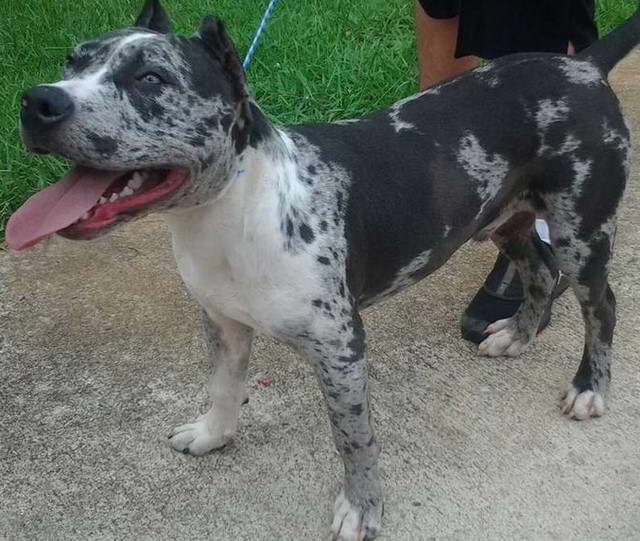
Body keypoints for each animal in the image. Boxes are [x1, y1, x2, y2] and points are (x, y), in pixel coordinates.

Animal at [7, 0, 636, 536]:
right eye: (72, 60)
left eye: (151, 79)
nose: (38, 101)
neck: (234, 210)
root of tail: (580, 66)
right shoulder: (222, 322)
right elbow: (223, 386)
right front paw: (214, 435)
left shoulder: (341, 348)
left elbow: (353, 439)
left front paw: (362, 508)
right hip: (502, 219)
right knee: (539, 269)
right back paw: (519, 335)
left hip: (582, 234)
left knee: (599, 304)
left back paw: (588, 387)